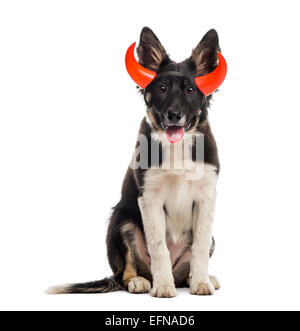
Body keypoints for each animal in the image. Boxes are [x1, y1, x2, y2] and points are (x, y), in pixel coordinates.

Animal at [47, 27, 226, 298]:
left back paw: (197, 278)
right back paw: (141, 282)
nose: (174, 115)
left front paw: (201, 283)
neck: (175, 147)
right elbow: (159, 247)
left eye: (190, 91)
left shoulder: (206, 196)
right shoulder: (149, 197)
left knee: (187, 266)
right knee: (126, 272)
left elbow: (200, 246)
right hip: (122, 222)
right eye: (161, 88)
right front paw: (163, 287)